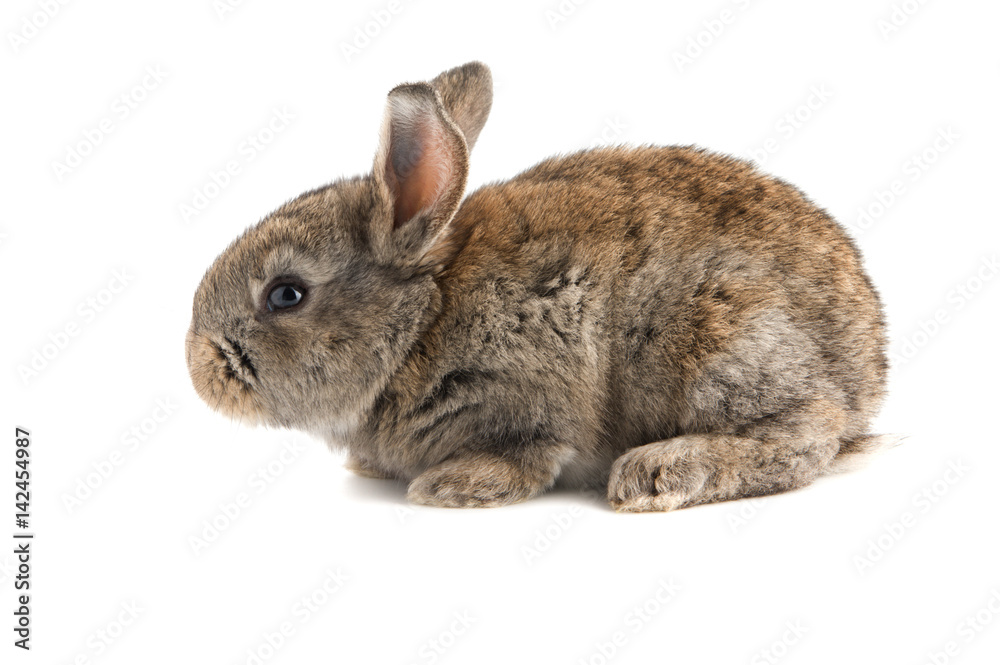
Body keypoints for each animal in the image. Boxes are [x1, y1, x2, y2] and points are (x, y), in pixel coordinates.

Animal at [186, 61, 891, 512]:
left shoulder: (530, 390)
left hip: (720, 336)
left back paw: (657, 473)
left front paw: (453, 487)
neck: (420, 322)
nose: (198, 369)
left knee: (805, 437)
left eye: (286, 294)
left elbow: (531, 451)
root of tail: (866, 374)